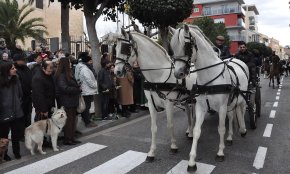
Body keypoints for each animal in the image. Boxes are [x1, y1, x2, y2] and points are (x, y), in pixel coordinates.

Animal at [112, 29, 196, 162]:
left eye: (126, 48)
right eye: (115, 49)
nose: (117, 72)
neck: (159, 74)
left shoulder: (168, 103)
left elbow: (170, 124)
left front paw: (173, 146)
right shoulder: (151, 104)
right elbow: (153, 128)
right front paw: (151, 152)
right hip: (185, 98)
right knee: (188, 113)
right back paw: (190, 131)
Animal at [171, 24, 248, 171]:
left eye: (186, 46)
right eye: (172, 47)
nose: (178, 73)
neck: (209, 76)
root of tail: (236, 59)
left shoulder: (222, 107)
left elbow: (221, 128)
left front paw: (220, 152)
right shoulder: (200, 107)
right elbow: (196, 130)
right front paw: (191, 161)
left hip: (241, 97)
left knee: (242, 109)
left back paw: (243, 128)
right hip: (231, 102)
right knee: (231, 116)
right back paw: (230, 137)